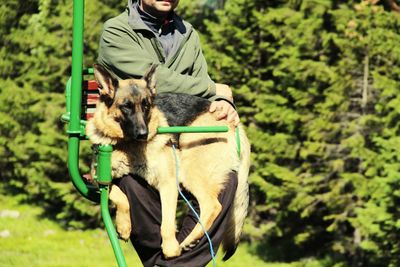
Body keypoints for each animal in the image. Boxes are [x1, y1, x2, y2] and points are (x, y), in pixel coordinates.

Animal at [86, 63, 250, 260]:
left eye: (146, 105)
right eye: (126, 106)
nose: (144, 134)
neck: (128, 145)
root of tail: (236, 126)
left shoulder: (168, 183)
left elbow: (167, 223)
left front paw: (170, 249)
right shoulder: (99, 181)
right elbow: (120, 196)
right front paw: (124, 226)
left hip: (189, 165)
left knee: (213, 205)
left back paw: (189, 240)